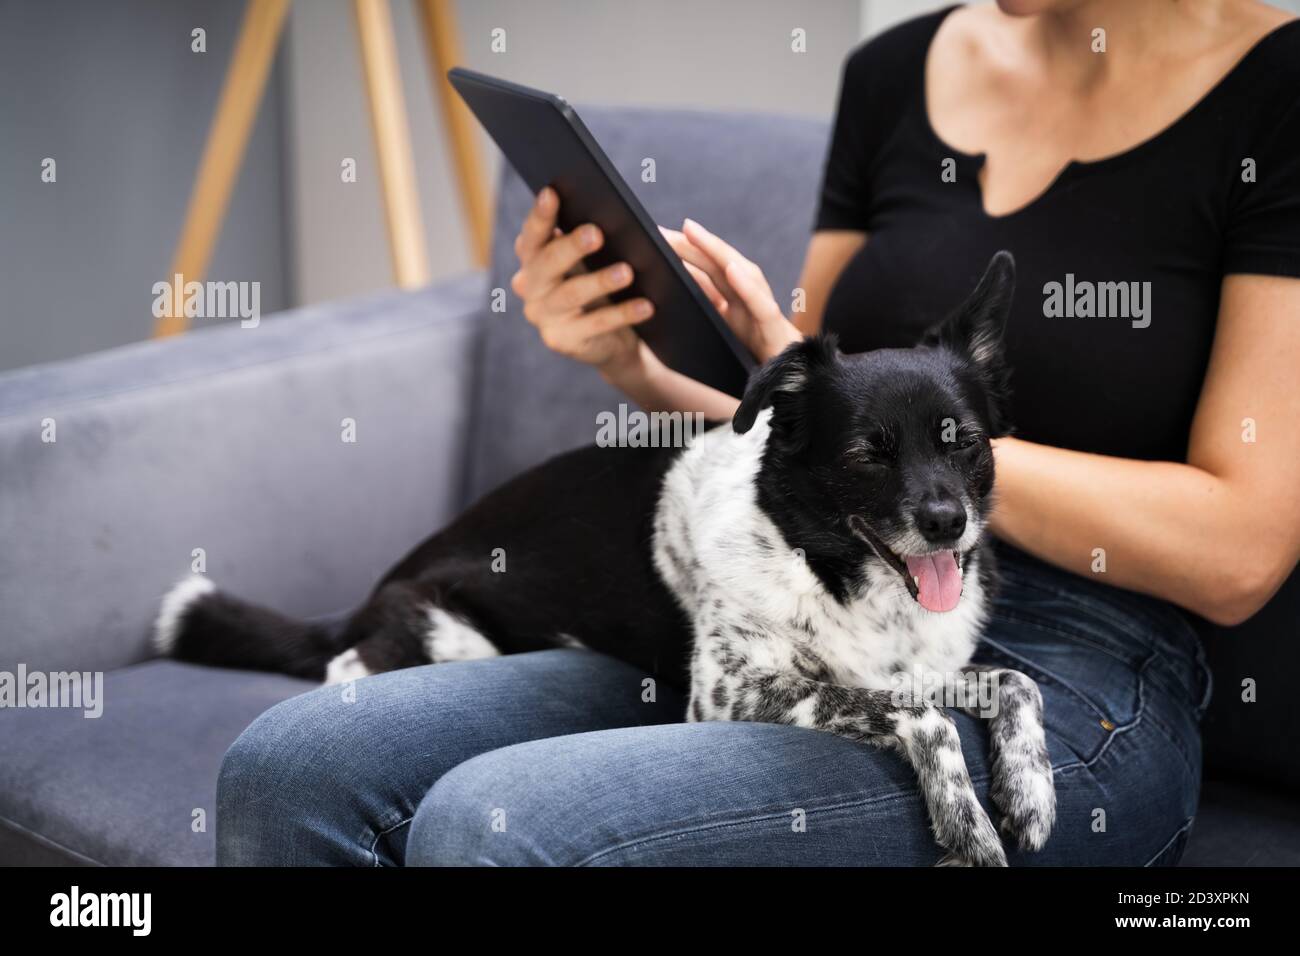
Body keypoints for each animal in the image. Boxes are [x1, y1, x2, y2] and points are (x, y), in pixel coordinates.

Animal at [159, 252, 1055, 868]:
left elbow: (1014, 682)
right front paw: (969, 825)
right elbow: (923, 716)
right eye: (870, 452)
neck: (835, 572)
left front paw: (1031, 789)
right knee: (345, 661)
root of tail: (377, 589)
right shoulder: (735, 696)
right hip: (450, 632)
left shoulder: (912, 664)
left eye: (967, 443)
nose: (948, 525)